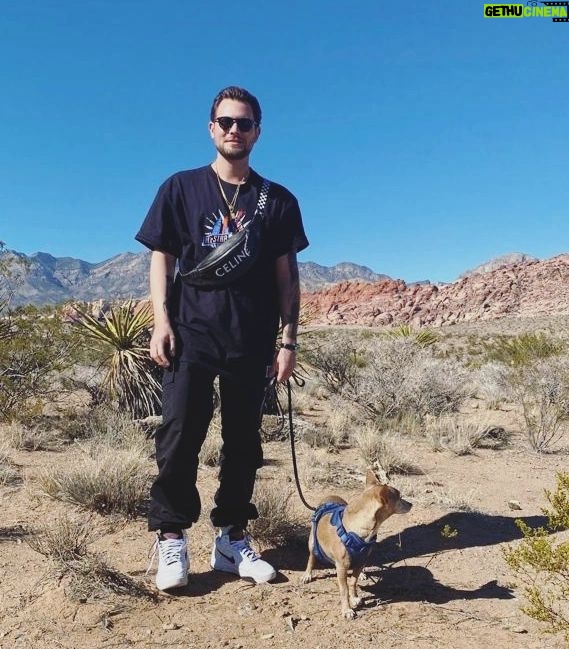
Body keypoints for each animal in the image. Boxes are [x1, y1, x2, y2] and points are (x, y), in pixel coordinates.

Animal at [300, 468, 410, 616]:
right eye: (399, 497)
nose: (411, 504)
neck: (357, 532)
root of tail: (329, 497)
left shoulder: (361, 561)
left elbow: (352, 582)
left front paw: (355, 598)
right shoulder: (342, 567)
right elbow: (344, 589)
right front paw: (347, 609)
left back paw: (363, 574)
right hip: (312, 543)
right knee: (311, 558)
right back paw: (307, 574)